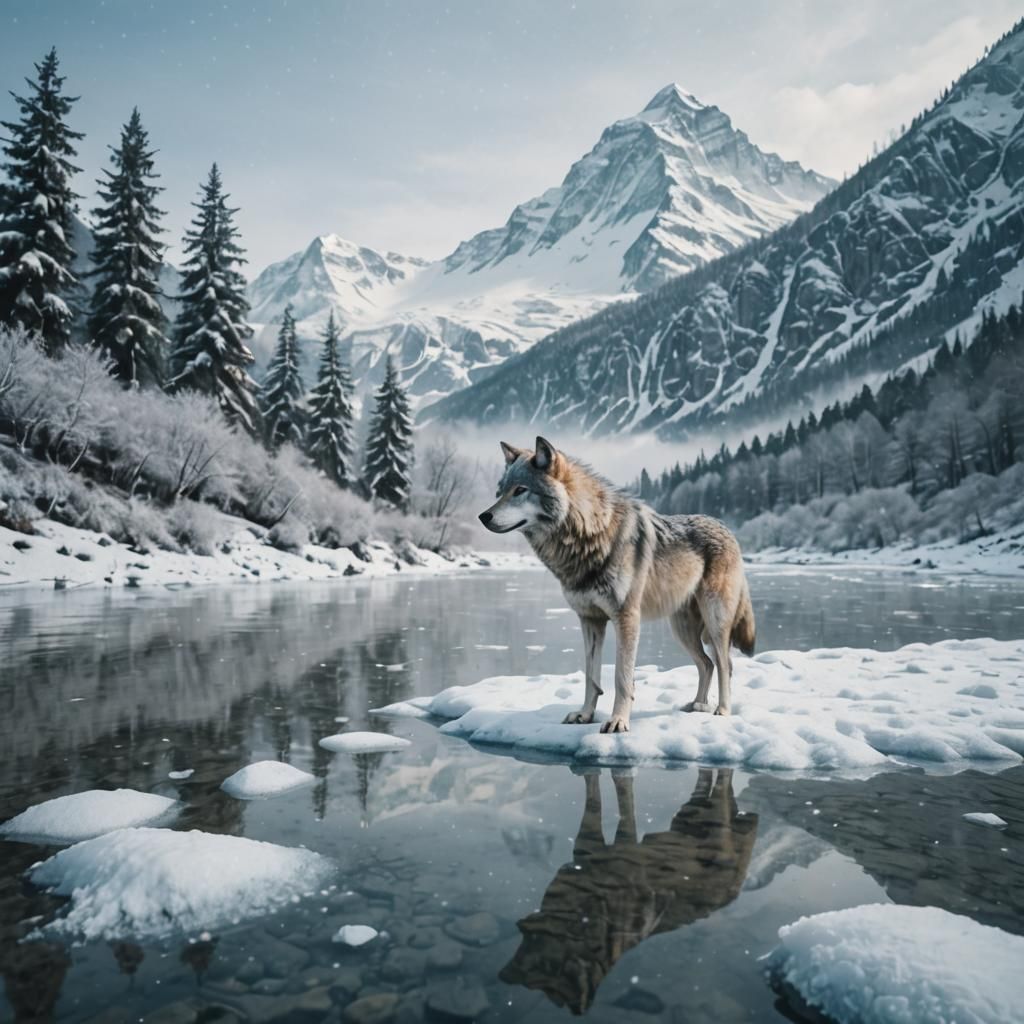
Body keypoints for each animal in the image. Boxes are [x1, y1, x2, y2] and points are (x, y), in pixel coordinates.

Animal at [479, 437, 755, 731]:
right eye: (500, 492)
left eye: (520, 490)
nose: (483, 516)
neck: (588, 534)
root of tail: (725, 527)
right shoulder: (589, 620)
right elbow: (591, 677)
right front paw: (585, 715)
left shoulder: (626, 618)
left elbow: (621, 678)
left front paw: (618, 721)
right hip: (682, 631)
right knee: (706, 664)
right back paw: (697, 705)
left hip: (715, 622)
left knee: (725, 664)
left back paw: (722, 710)